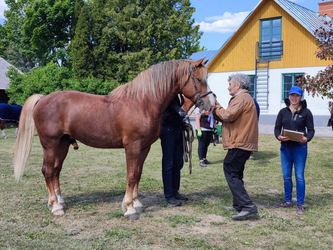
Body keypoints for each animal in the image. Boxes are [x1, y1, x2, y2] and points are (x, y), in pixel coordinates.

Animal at [13, 58, 215, 219]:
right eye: (199, 79)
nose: (210, 105)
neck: (142, 102)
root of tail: (42, 99)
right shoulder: (132, 146)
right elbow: (131, 175)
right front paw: (129, 209)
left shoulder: (144, 148)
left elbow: (138, 174)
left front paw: (136, 203)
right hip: (50, 144)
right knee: (48, 171)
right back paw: (55, 207)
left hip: (63, 144)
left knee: (55, 171)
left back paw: (60, 202)